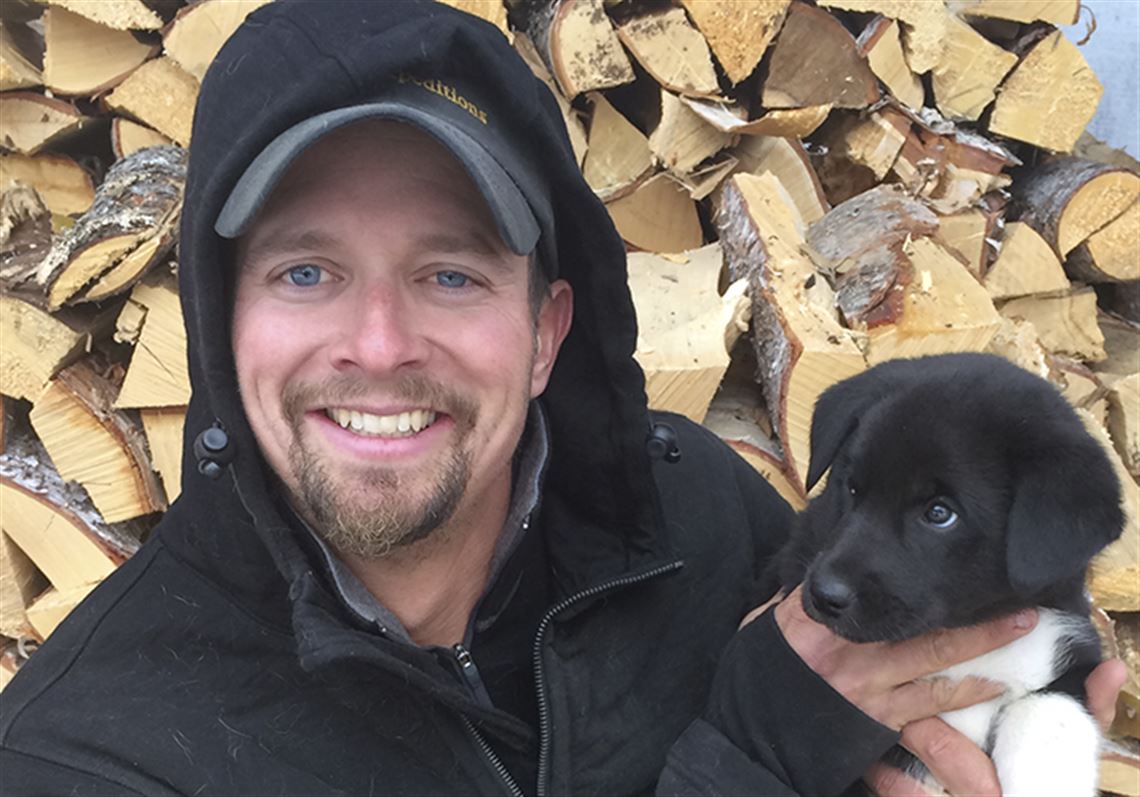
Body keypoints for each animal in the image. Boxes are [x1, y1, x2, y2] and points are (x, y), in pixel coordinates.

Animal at [774, 353, 1125, 796]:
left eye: (940, 513)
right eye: (852, 489)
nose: (824, 595)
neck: (965, 633)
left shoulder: (1068, 653)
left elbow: (1050, 714)